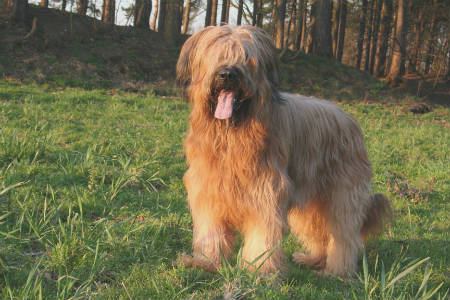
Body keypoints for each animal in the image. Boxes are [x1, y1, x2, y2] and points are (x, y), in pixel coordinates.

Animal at [175, 24, 390, 276]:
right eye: (217, 55)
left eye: (246, 57)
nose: (227, 74)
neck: (231, 134)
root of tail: (350, 118)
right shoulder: (208, 189)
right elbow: (211, 230)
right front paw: (207, 262)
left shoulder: (264, 190)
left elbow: (263, 234)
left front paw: (259, 270)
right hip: (311, 198)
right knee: (317, 229)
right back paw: (313, 259)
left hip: (342, 192)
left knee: (344, 234)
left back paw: (337, 271)